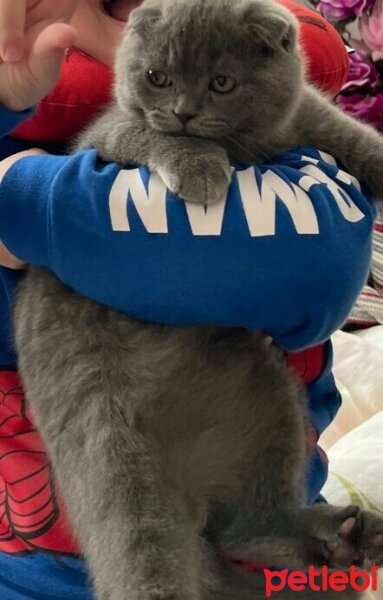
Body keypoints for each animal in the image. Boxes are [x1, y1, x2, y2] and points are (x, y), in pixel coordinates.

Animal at [13, 1, 383, 600]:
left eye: (222, 83)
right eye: (157, 77)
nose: (184, 113)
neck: (245, 145)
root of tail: (189, 494)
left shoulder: (313, 119)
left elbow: (363, 143)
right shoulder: (110, 135)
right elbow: (149, 134)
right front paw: (200, 168)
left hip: (270, 400)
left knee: (246, 527)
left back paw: (348, 535)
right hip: (106, 443)